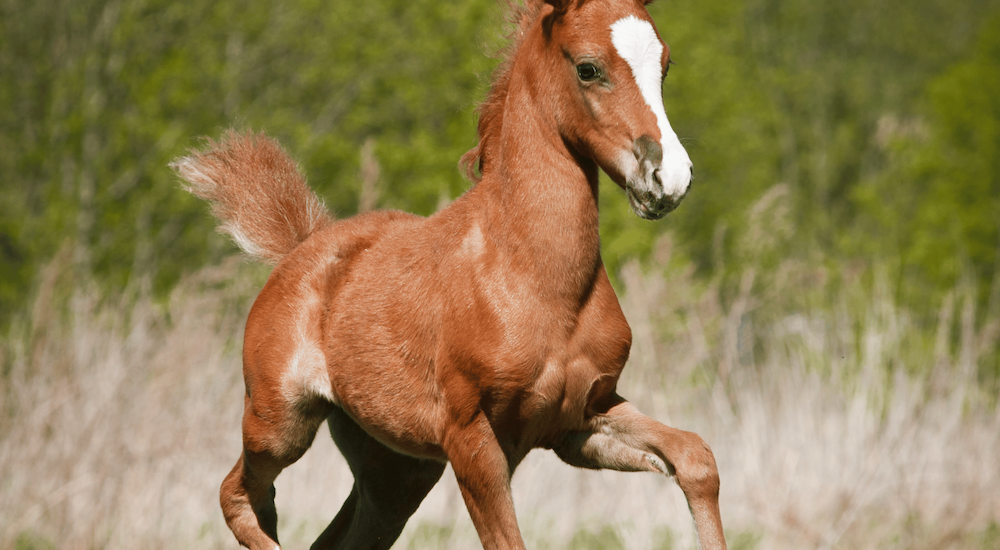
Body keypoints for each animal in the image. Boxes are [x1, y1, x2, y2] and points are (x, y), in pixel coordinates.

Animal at [171, 0, 726, 548]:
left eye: (665, 64)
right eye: (588, 68)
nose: (669, 179)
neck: (538, 280)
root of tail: (301, 247)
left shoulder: (579, 420)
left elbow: (696, 457)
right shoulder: (471, 436)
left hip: (395, 470)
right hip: (279, 423)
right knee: (237, 495)